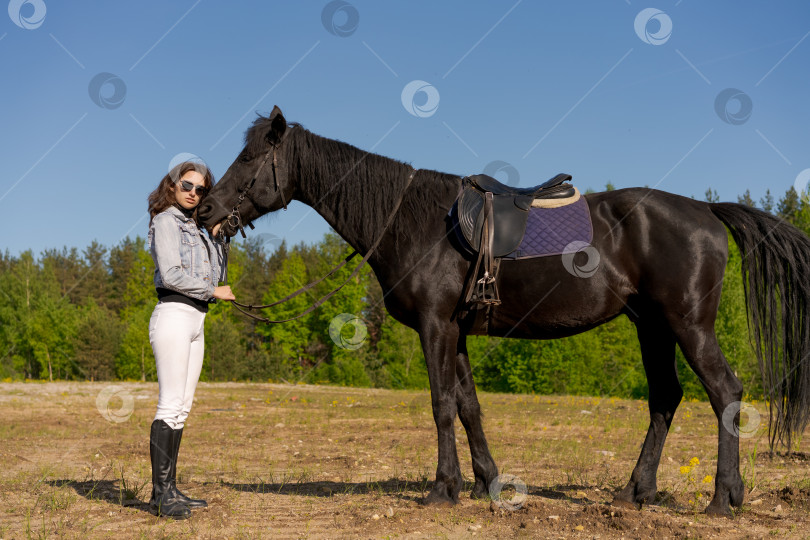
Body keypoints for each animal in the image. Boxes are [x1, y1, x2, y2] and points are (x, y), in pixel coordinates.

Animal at [196, 105, 808, 516]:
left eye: (250, 157)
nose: (205, 209)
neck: (412, 222)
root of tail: (705, 211)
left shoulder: (436, 327)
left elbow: (442, 406)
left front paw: (441, 490)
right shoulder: (458, 331)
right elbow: (469, 408)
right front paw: (486, 484)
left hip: (688, 324)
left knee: (725, 393)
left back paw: (724, 498)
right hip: (652, 328)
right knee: (665, 399)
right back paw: (636, 492)